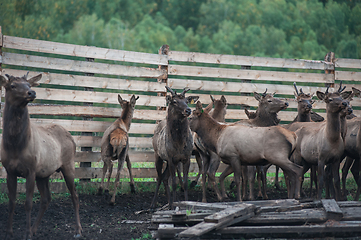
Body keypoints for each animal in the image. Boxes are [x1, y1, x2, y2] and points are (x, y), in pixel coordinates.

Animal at [1, 73, 81, 238]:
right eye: (12, 85)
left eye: (28, 84)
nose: (31, 93)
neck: (15, 145)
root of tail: (71, 137)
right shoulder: (10, 171)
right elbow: (12, 202)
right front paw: (9, 232)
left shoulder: (31, 170)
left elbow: (28, 203)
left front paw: (26, 234)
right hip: (43, 174)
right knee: (46, 199)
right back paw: (34, 229)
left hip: (68, 165)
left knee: (75, 196)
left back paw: (78, 231)